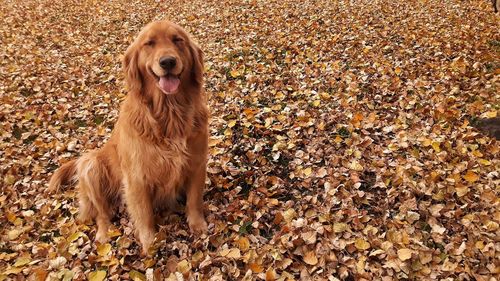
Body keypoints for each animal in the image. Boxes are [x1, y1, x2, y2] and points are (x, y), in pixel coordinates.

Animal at [48, 19, 209, 252]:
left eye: (178, 40)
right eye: (149, 43)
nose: (168, 61)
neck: (170, 114)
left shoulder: (197, 163)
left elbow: (194, 200)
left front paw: (198, 225)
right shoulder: (137, 177)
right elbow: (144, 213)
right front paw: (149, 242)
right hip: (90, 165)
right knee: (102, 213)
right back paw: (104, 234)